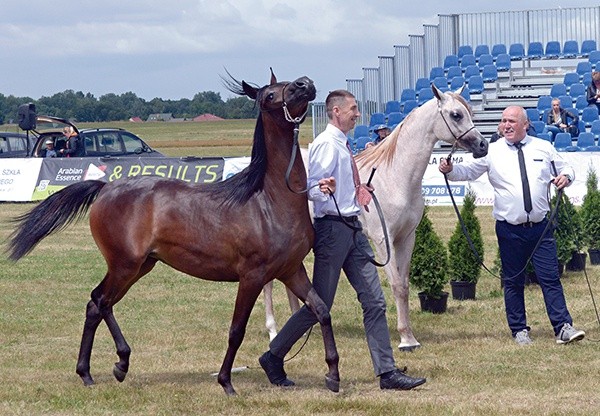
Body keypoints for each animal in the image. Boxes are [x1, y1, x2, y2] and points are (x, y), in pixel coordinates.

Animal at [7, 71, 340, 396]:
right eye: (271, 94)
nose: (305, 84)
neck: (268, 200)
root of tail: (106, 187)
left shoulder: (291, 271)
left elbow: (321, 310)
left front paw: (333, 374)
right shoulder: (252, 276)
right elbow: (236, 330)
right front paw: (226, 382)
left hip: (140, 266)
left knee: (99, 305)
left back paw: (97, 370)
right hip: (124, 265)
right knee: (99, 301)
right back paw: (112, 366)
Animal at [262, 86, 488, 350]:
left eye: (470, 112)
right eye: (455, 114)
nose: (483, 145)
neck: (395, 177)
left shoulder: (407, 238)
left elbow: (405, 284)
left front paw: (410, 336)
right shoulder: (383, 240)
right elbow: (397, 286)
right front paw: (405, 339)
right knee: (268, 283)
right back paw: (273, 331)